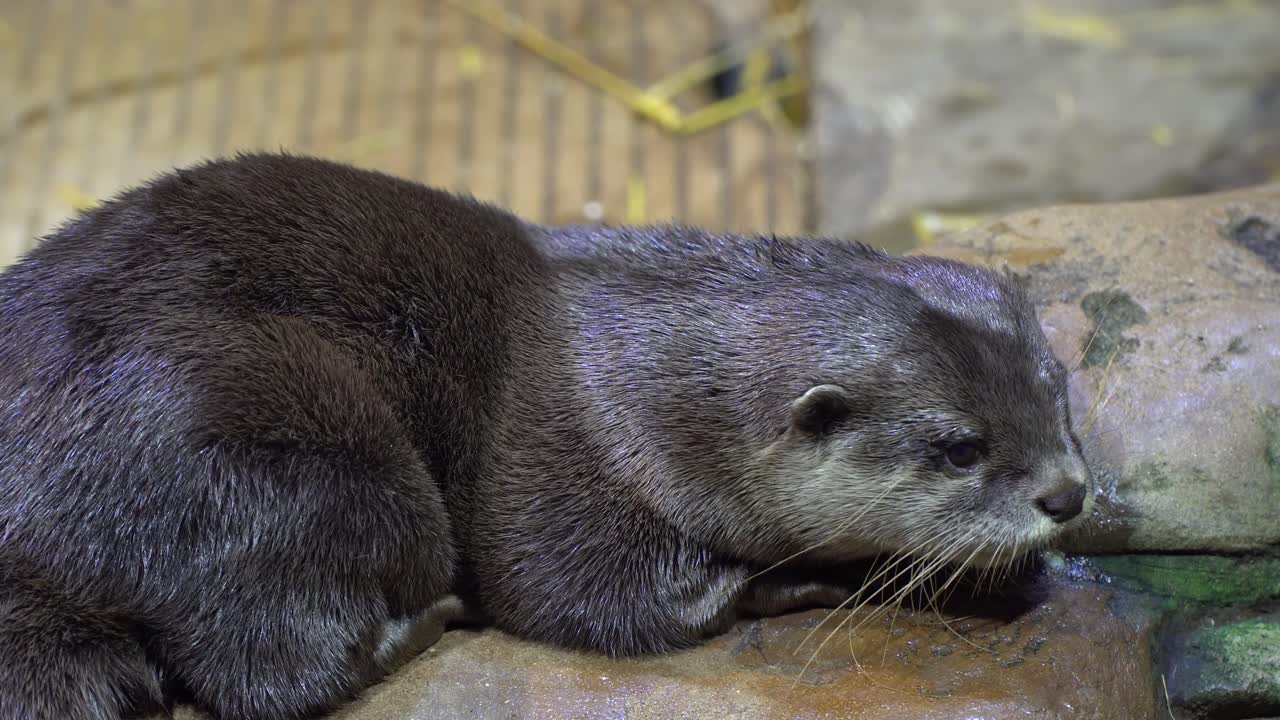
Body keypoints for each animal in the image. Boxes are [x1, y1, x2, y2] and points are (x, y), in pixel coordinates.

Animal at [0, 154, 1091, 719]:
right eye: (959, 446)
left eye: (1061, 391)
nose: (1067, 495)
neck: (646, 382)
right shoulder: (563, 453)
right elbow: (581, 598)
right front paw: (813, 580)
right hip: (278, 445)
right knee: (267, 666)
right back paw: (427, 620)